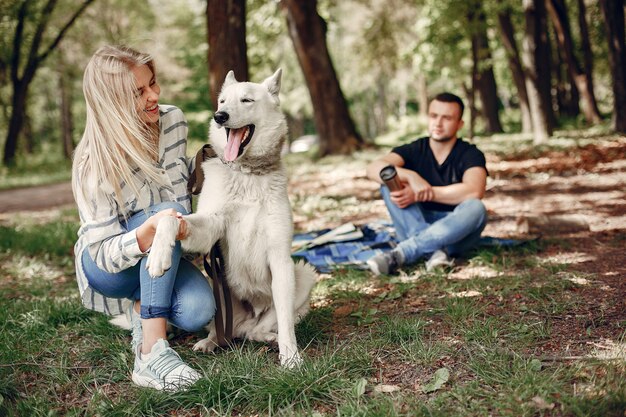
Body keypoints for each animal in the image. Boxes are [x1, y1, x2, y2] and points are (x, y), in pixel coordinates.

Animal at [147, 68, 316, 368]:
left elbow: (286, 322)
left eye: (247, 100)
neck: (246, 173)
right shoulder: (208, 227)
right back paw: (210, 341)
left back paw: (268, 338)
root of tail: (243, 323)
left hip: (303, 275)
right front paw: (158, 253)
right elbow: (170, 219)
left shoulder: (280, 260)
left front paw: (291, 358)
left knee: (257, 330)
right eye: (222, 102)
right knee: (224, 330)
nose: (220, 116)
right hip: (216, 287)